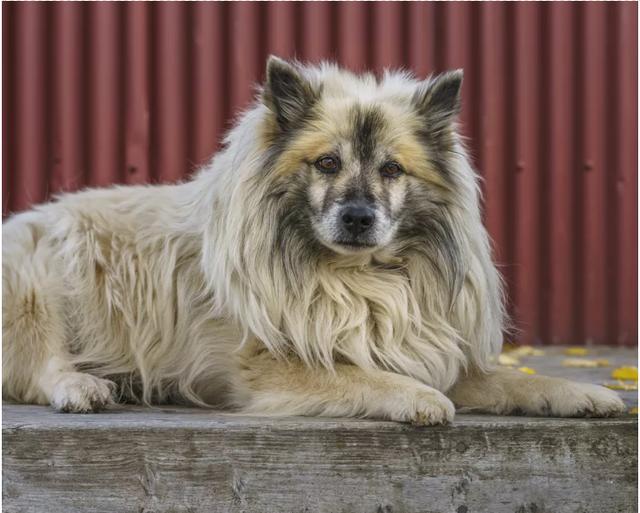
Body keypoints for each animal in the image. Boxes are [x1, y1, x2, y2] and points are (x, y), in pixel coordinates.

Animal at [2, 57, 624, 424]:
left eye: (392, 170)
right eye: (327, 163)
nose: (357, 217)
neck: (359, 276)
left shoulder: (426, 348)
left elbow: (505, 378)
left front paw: (580, 393)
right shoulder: (269, 366)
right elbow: (361, 375)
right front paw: (420, 398)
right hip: (40, 276)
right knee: (39, 367)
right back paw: (82, 386)